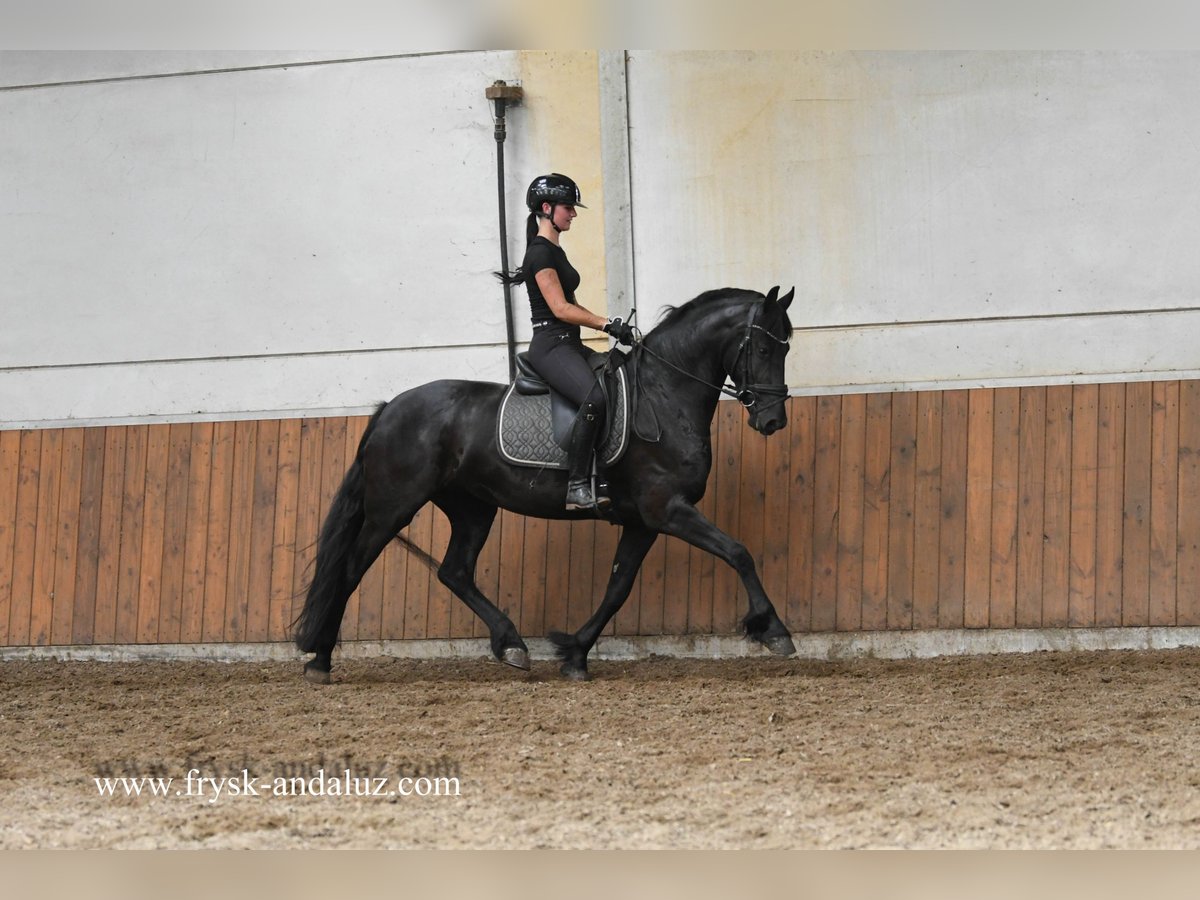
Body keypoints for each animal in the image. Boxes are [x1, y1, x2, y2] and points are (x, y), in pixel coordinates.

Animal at [292, 285, 797, 682]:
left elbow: (618, 589)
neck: (663, 394)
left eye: (786, 349)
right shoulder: (667, 509)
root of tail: (390, 407)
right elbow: (739, 552)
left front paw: (574, 653)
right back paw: (320, 661)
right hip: (392, 508)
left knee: (454, 571)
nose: (773, 421)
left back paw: (512, 644)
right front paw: (774, 631)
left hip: (472, 507)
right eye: (764, 349)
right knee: (352, 568)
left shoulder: (643, 522)